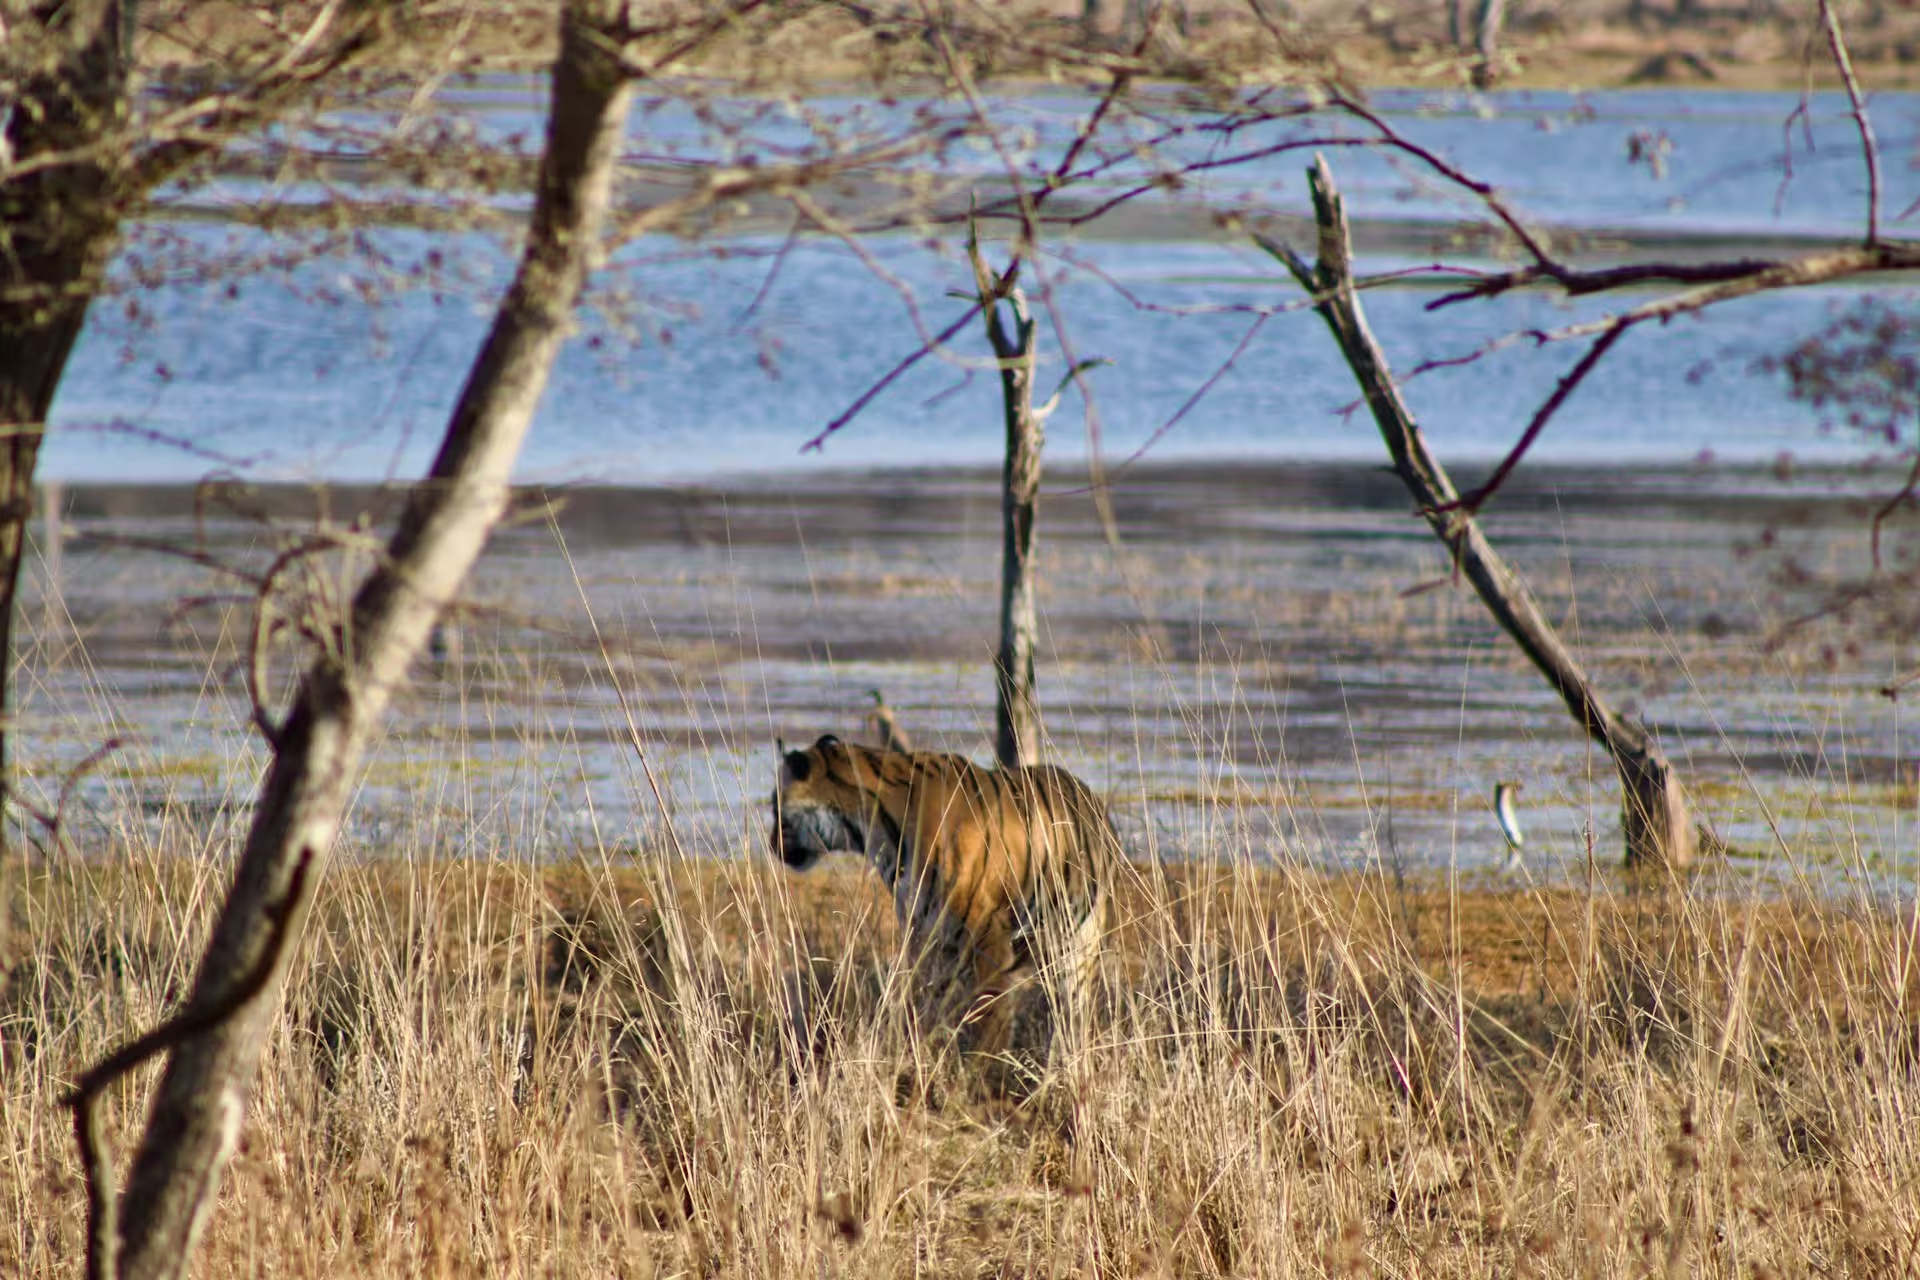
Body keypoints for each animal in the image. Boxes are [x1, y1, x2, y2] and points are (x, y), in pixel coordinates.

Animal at [769, 734, 1119, 1058]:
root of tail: (1091, 799)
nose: (771, 844)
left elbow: (990, 1014)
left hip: (1077, 943)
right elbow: (928, 1004)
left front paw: (981, 1069)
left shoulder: (986, 933)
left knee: (1072, 1016)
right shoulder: (929, 934)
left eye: (775, 808)